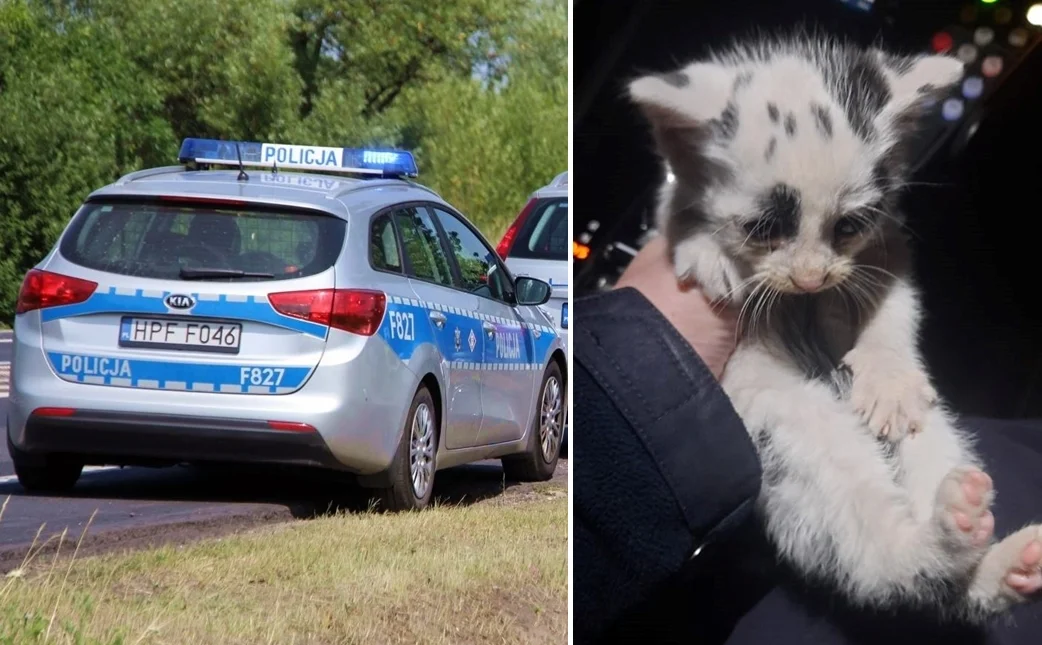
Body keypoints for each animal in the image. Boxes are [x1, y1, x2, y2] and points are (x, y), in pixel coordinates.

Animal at [625, 32, 1042, 625]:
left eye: (848, 225)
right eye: (763, 228)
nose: (810, 279)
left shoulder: (886, 244)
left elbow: (892, 305)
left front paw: (887, 374)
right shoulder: (670, 205)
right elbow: (674, 215)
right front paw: (705, 248)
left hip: (933, 434)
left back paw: (991, 560)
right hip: (799, 441)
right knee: (879, 550)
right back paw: (948, 541)